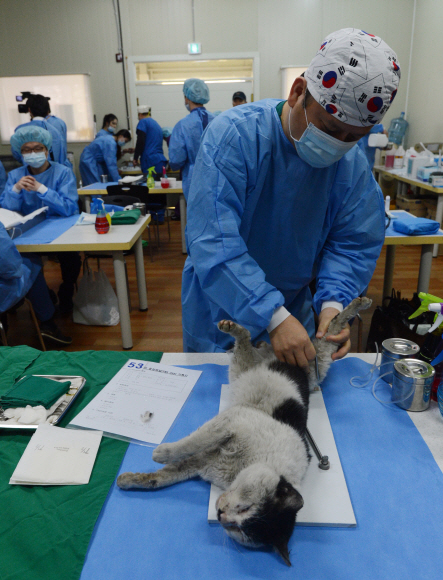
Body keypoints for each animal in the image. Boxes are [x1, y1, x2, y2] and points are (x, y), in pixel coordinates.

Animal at [117, 296, 372, 564]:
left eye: (239, 529)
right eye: (247, 508)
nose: (220, 514)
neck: (249, 465)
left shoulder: (205, 461)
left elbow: (163, 477)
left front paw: (129, 479)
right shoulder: (232, 421)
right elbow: (189, 443)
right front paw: (160, 452)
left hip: (247, 367)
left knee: (248, 344)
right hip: (313, 357)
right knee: (327, 328)